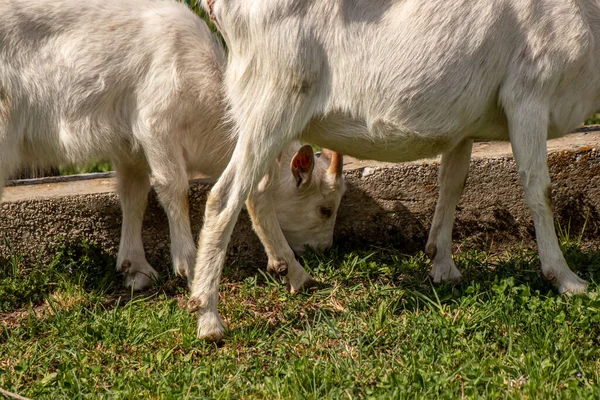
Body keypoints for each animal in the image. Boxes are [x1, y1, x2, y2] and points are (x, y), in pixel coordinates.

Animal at [0, 0, 342, 290]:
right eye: (325, 209)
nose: (326, 249)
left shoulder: (129, 143)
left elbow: (134, 194)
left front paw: (135, 268)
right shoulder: (156, 124)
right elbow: (174, 187)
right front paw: (189, 264)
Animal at [190, 0, 600, 340]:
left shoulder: (464, 125)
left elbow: (452, 183)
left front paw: (442, 265)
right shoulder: (528, 94)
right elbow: (539, 189)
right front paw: (567, 279)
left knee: (257, 192)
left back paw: (295, 274)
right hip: (273, 99)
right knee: (225, 197)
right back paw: (209, 319)